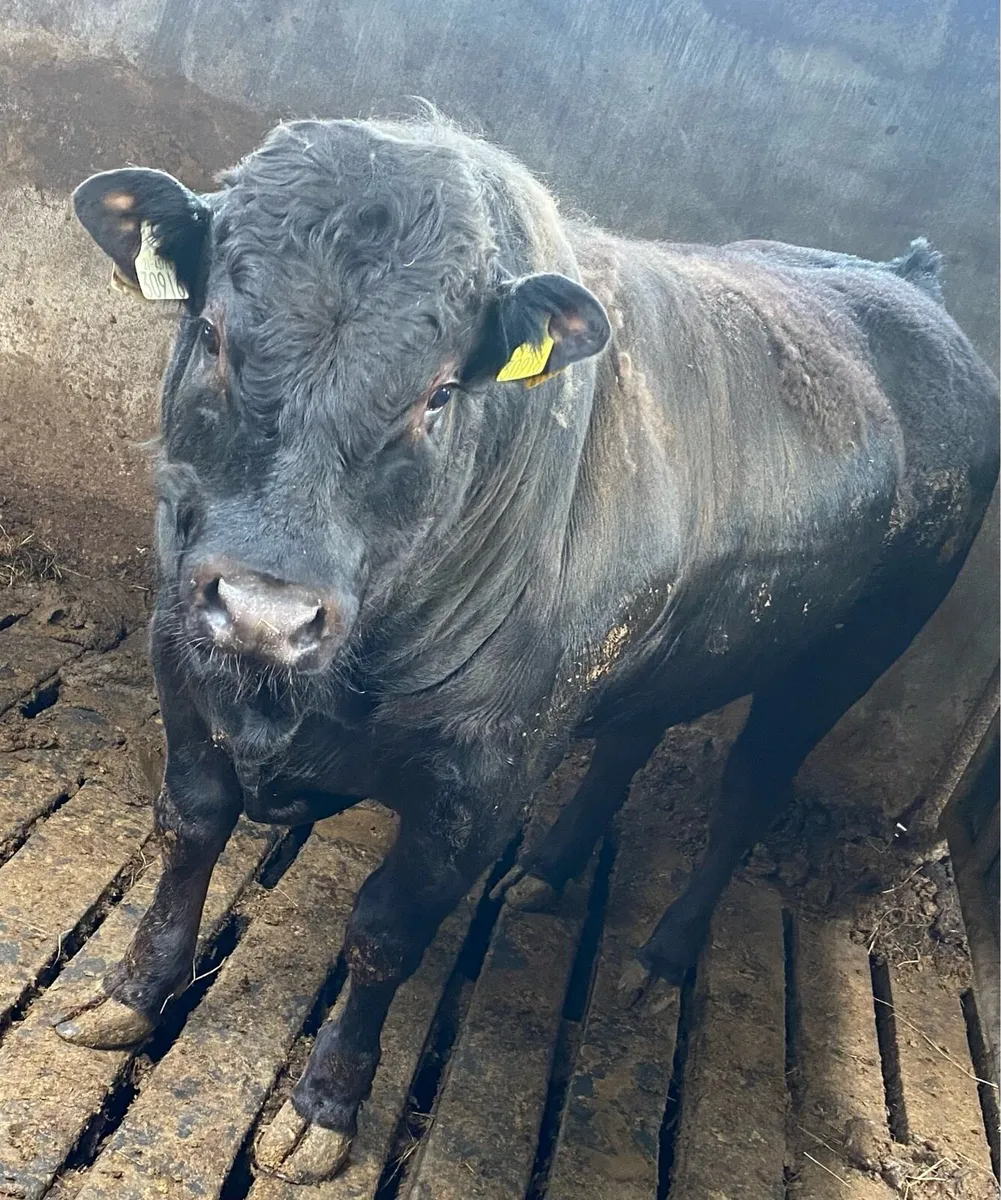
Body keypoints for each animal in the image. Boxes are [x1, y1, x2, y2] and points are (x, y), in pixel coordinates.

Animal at [59, 114, 999, 1183]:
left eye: (436, 394)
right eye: (214, 333)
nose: (265, 611)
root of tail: (905, 282)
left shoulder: (484, 778)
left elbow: (385, 931)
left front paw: (326, 1105)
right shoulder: (180, 653)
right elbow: (189, 828)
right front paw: (130, 993)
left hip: (841, 662)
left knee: (745, 795)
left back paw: (663, 957)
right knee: (630, 737)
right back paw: (549, 870)